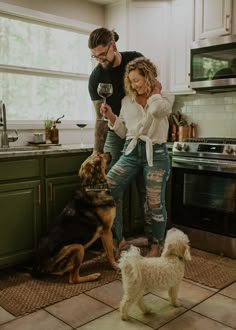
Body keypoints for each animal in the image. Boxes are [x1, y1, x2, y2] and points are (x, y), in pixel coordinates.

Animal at [33, 152, 117, 284]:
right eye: (99, 155)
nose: (109, 152)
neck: (94, 186)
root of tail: (38, 267)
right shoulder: (106, 230)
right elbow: (110, 253)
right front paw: (116, 266)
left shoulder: (106, 232)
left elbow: (112, 249)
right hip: (78, 247)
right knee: (73, 279)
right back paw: (93, 276)